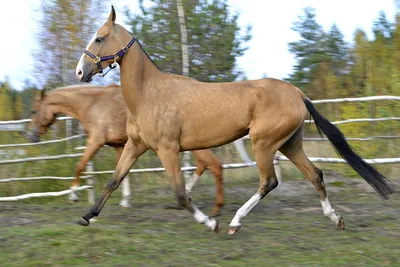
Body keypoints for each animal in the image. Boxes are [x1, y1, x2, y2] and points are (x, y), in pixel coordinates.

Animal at [26, 85, 225, 215]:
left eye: (34, 111)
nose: (30, 136)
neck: (93, 104)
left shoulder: (96, 141)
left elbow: (80, 165)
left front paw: (73, 196)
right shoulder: (120, 145)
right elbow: (121, 174)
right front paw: (125, 200)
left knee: (214, 165)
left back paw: (215, 209)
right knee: (205, 165)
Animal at [73, 6, 392, 234]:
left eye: (100, 38)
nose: (80, 71)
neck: (148, 94)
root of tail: (297, 93)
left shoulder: (168, 149)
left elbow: (181, 194)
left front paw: (210, 222)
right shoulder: (136, 145)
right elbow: (113, 181)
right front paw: (87, 216)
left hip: (264, 144)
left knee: (269, 182)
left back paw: (234, 222)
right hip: (290, 144)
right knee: (315, 175)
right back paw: (335, 219)